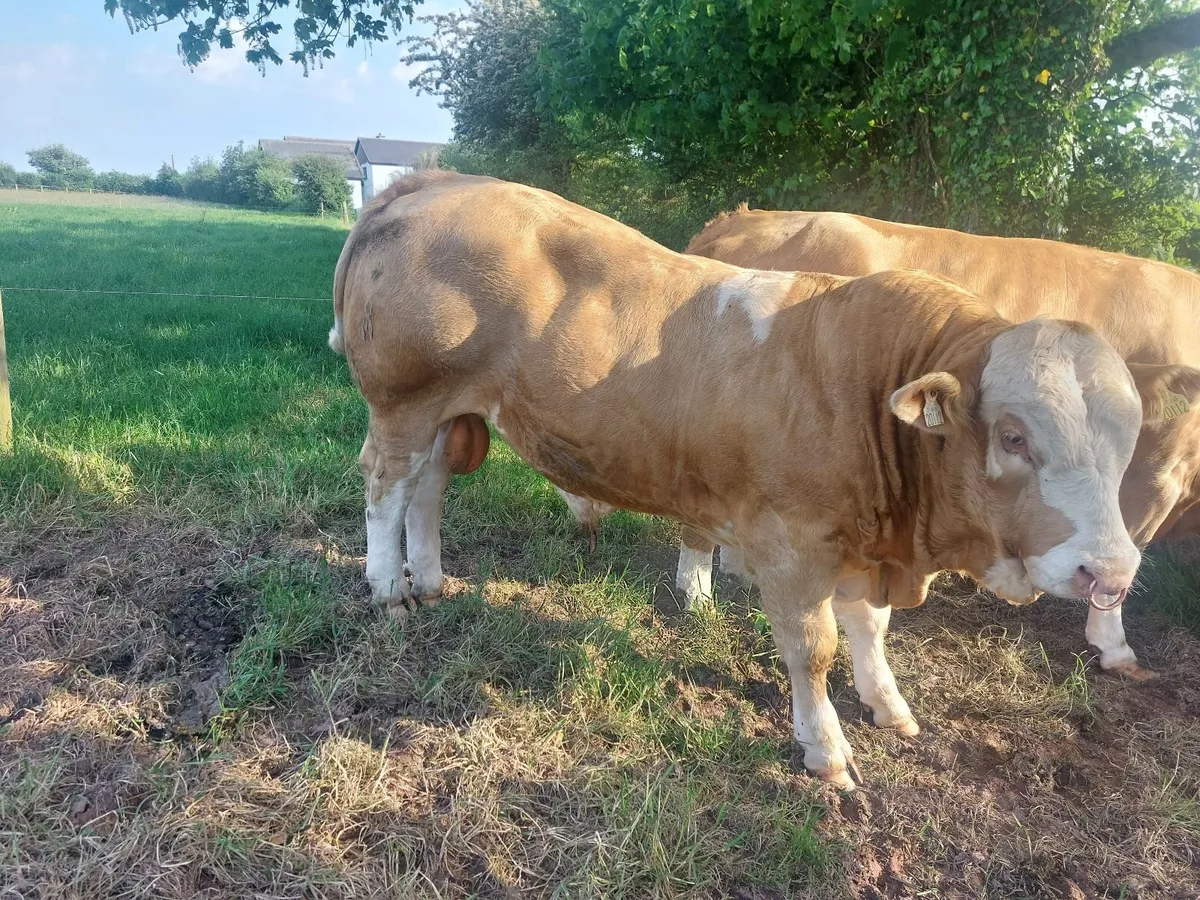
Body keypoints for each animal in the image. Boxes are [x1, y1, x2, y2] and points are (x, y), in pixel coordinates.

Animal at [610, 207, 1200, 681]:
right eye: (1012, 438)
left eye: (1123, 438)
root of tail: (742, 219)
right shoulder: (1159, 473)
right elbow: (1126, 560)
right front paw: (1114, 646)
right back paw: (697, 592)